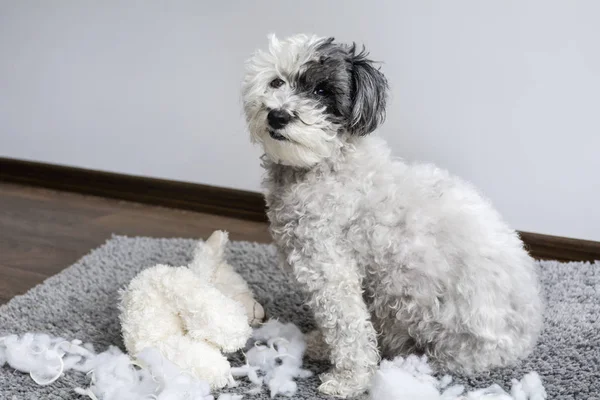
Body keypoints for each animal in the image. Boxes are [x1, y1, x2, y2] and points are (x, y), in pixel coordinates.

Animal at [240, 34, 544, 396]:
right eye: (277, 82)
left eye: (322, 90)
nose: (278, 116)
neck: (324, 166)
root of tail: (525, 337)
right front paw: (323, 348)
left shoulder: (330, 271)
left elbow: (348, 329)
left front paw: (348, 380)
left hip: (428, 317)